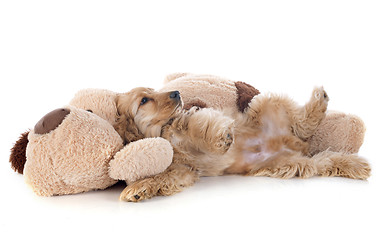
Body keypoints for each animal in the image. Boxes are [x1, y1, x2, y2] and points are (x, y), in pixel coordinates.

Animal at [115, 87, 372, 202]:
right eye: (145, 100)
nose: (177, 93)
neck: (165, 135)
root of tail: (295, 144)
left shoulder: (189, 119)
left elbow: (200, 128)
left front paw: (223, 139)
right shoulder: (183, 171)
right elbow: (163, 177)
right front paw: (139, 189)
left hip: (270, 103)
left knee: (304, 123)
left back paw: (320, 100)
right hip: (293, 165)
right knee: (325, 160)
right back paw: (357, 166)